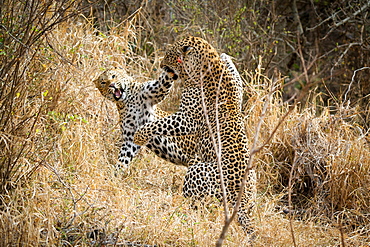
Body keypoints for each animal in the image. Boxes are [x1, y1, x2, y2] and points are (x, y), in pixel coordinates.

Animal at [134, 36, 258, 232]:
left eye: (169, 55)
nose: (161, 65)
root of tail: (242, 204)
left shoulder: (188, 118)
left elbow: (161, 123)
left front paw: (139, 135)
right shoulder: (237, 89)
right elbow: (232, 71)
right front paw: (224, 55)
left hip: (198, 170)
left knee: (193, 202)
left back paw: (174, 203)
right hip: (253, 179)